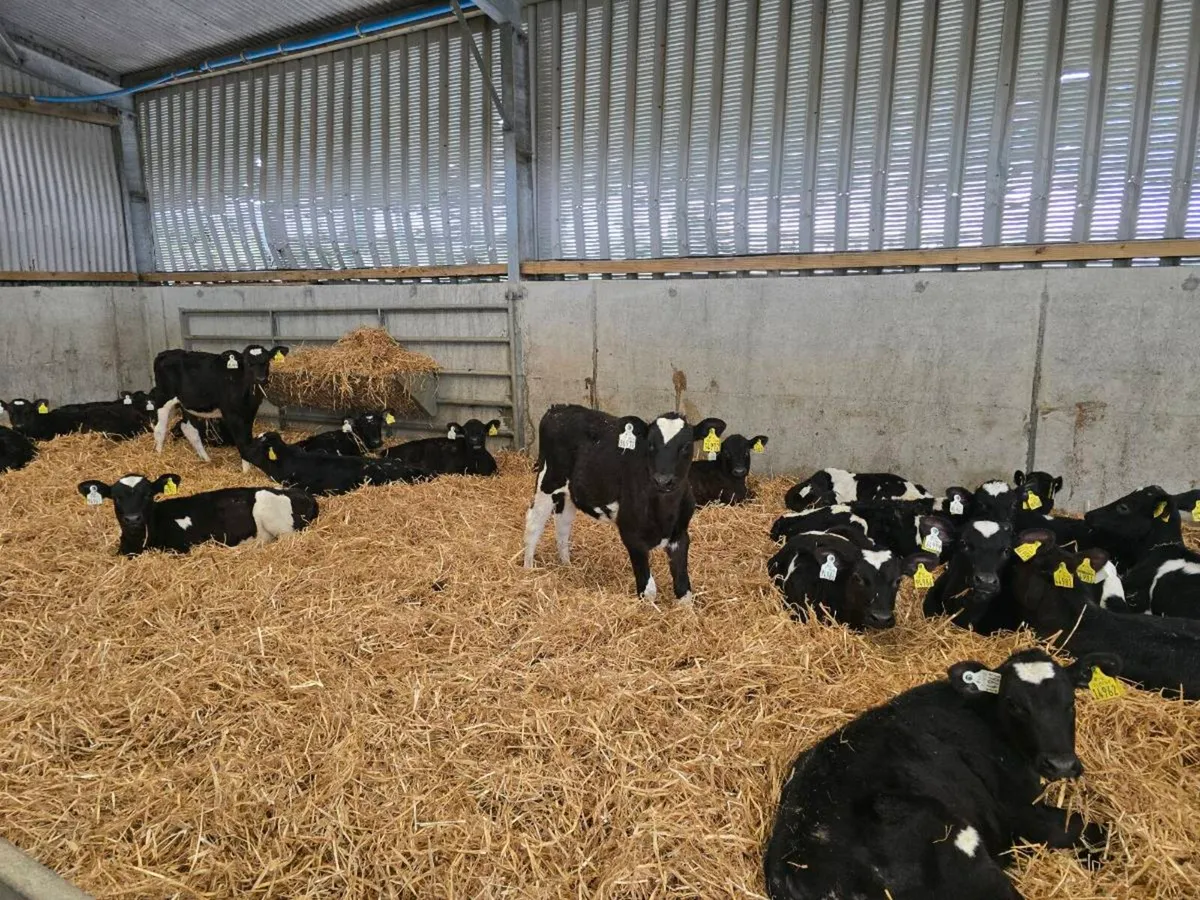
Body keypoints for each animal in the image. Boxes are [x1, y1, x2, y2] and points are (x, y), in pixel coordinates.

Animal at [152, 344, 289, 463]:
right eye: (248, 363)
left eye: (266, 361)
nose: (261, 379)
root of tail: (164, 354)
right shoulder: (231, 414)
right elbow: (241, 441)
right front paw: (246, 470)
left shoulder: (249, 411)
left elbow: (247, 439)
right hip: (164, 398)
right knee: (160, 428)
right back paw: (159, 455)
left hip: (186, 404)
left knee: (189, 430)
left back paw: (206, 459)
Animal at [522, 404, 724, 602]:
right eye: (650, 445)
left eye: (686, 446)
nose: (662, 480)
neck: (664, 512)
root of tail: (558, 408)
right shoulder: (631, 535)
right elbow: (648, 590)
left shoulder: (680, 534)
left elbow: (684, 589)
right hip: (548, 481)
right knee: (534, 523)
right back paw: (528, 569)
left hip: (569, 493)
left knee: (563, 525)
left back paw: (567, 566)